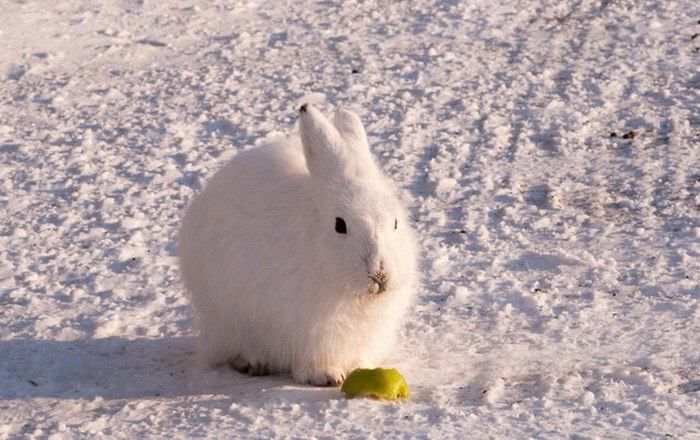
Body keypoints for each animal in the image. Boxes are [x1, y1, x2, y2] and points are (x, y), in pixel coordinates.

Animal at [178, 103, 418, 384]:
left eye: (395, 223)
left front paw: (361, 367)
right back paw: (251, 363)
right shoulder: (305, 330)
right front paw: (325, 375)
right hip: (225, 318)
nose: (380, 275)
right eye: (340, 225)